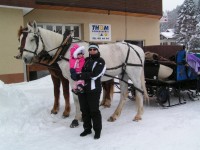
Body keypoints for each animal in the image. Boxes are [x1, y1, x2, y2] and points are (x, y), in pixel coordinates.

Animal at [19, 21, 148, 123]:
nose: (25, 58)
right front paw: (81, 116)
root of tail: (137, 48)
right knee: (124, 94)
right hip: (123, 74)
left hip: (134, 74)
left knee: (139, 92)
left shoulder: (72, 79)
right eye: (20, 39)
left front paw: (77, 118)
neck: (66, 50)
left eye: (32, 39)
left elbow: (76, 99)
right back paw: (115, 115)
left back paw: (138, 115)